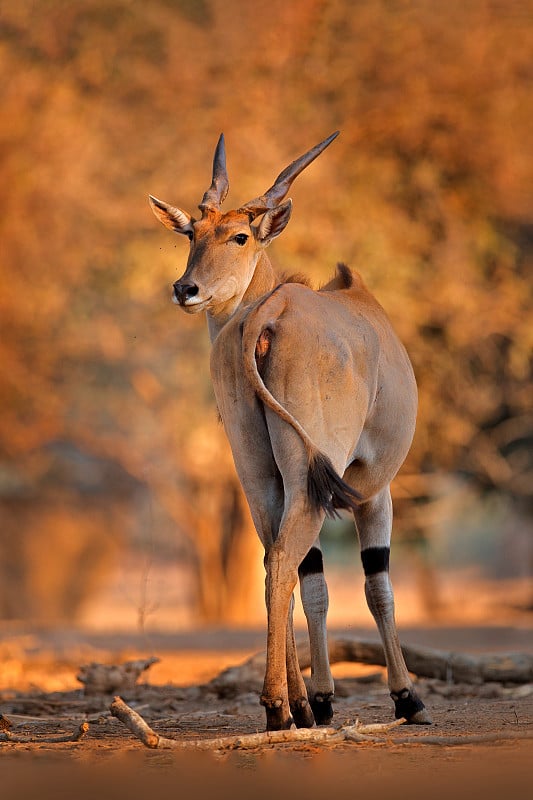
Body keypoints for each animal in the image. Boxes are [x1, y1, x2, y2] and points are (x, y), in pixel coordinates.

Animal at [148, 133, 430, 732]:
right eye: (192, 234)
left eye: (238, 234)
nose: (186, 288)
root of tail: (268, 314)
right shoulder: (374, 491)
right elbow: (377, 587)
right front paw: (406, 698)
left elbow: (315, 582)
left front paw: (319, 701)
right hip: (313, 479)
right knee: (284, 562)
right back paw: (279, 704)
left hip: (261, 476)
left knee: (278, 561)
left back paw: (293, 705)